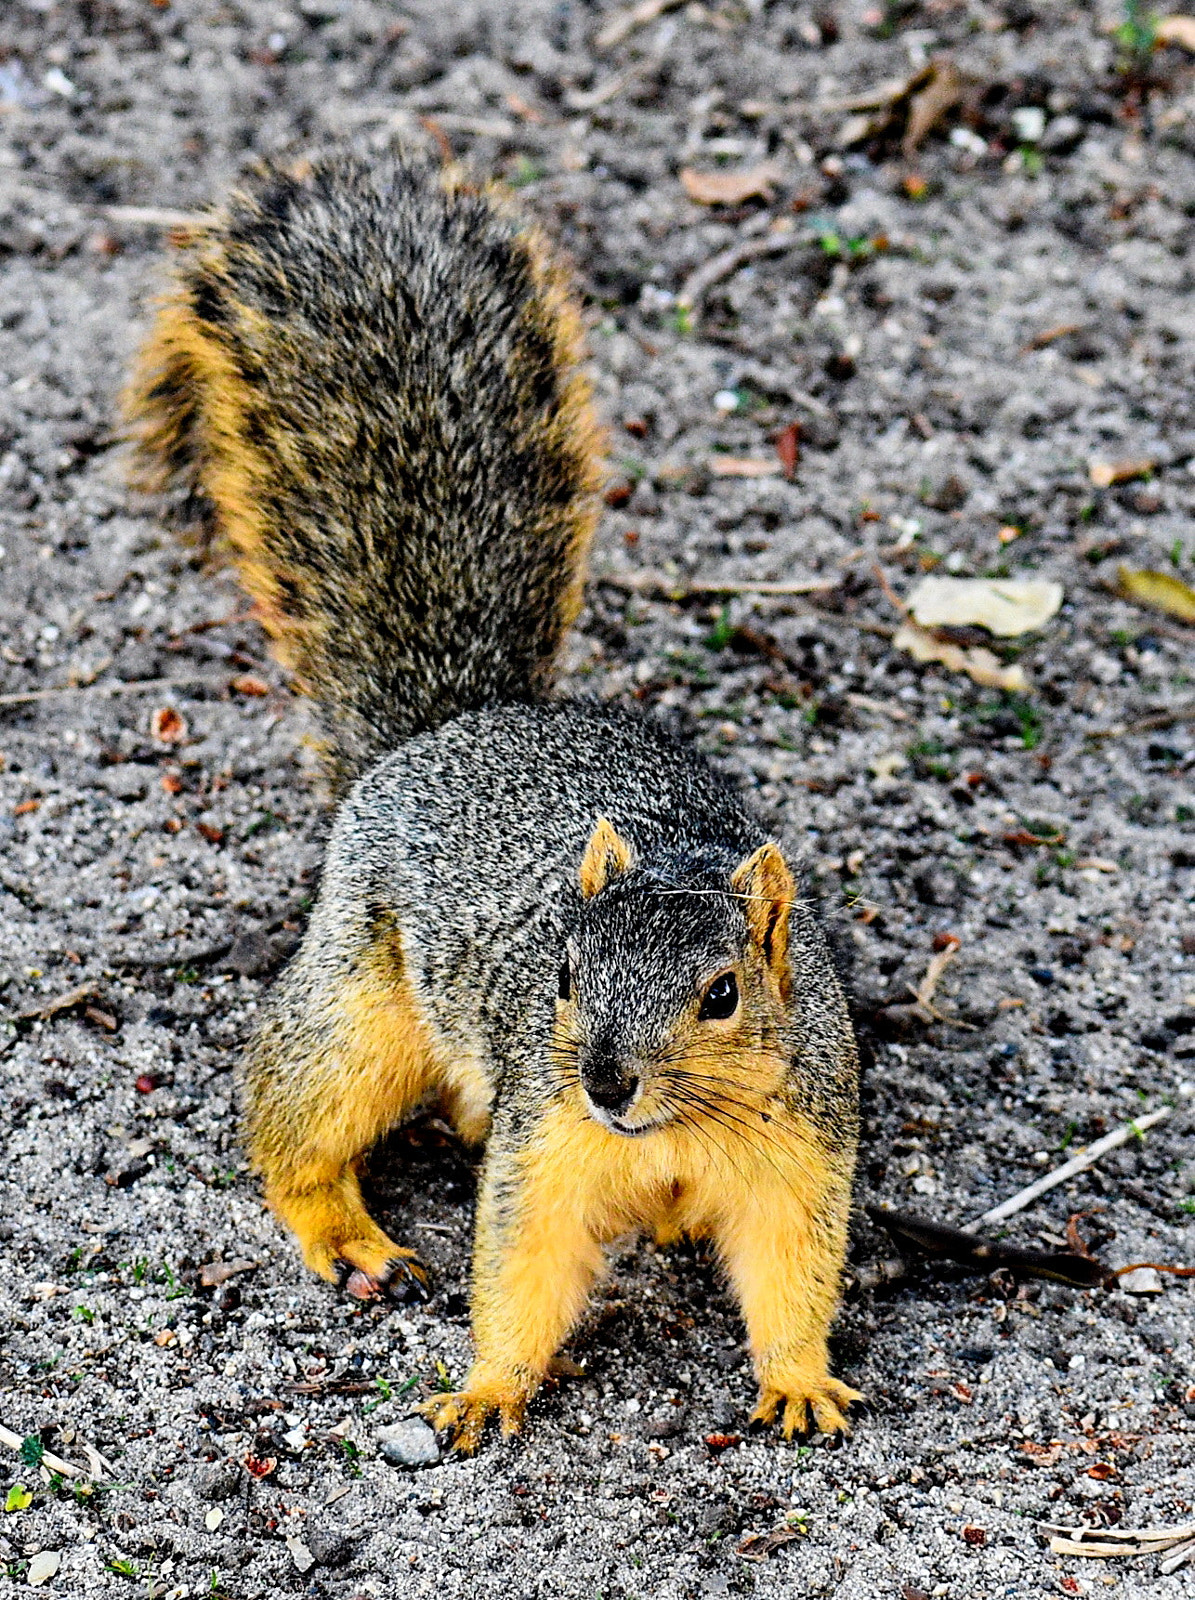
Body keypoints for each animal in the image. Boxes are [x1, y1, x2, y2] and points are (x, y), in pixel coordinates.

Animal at [124, 153, 862, 1453]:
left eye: (724, 994)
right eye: (561, 974)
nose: (605, 1079)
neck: (673, 1132)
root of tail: (448, 726)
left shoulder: (800, 1154)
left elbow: (790, 1273)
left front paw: (799, 1380)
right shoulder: (544, 1141)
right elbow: (521, 1264)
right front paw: (483, 1387)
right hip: (358, 1000)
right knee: (289, 1113)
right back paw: (349, 1235)